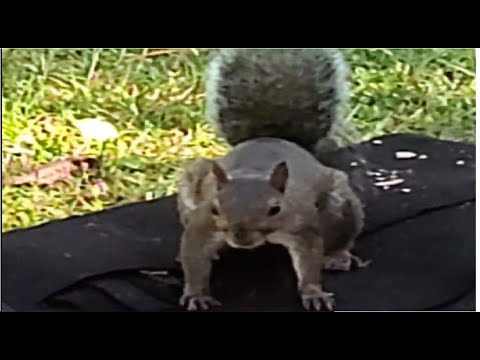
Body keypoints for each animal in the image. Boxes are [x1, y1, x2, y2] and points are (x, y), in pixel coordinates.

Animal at [176, 48, 368, 312]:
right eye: (215, 208)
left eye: (275, 209)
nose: (241, 238)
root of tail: (274, 138)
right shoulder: (202, 223)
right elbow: (194, 255)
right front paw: (196, 293)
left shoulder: (301, 226)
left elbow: (309, 259)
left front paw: (313, 293)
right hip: (193, 182)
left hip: (340, 204)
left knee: (341, 232)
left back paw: (337, 256)